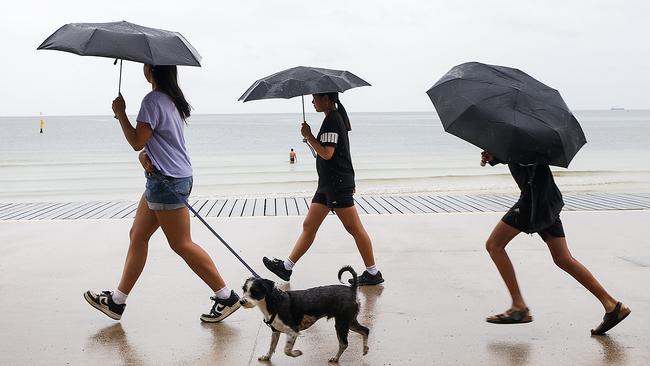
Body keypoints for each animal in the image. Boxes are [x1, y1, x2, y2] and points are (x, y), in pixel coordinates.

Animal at [239, 266, 370, 364]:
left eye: (254, 292)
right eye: (244, 290)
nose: (241, 301)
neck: (274, 301)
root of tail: (352, 289)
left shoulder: (293, 331)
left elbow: (286, 350)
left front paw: (296, 353)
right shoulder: (275, 331)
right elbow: (272, 347)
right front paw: (267, 357)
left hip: (341, 324)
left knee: (344, 344)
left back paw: (336, 358)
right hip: (349, 322)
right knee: (365, 330)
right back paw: (365, 350)